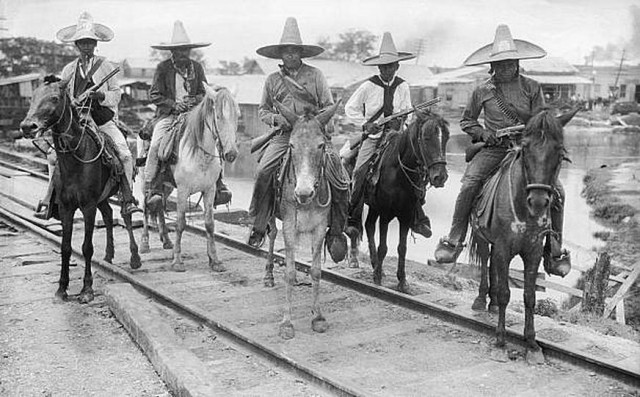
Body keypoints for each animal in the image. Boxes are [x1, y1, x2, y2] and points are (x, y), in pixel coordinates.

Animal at [19, 76, 140, 302]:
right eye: (32, 97)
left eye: (55, 98)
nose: (27, 126)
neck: (75, 160)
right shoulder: (66, 207)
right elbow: (66, 247)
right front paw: (62, 287)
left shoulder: (88, 206)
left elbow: (86, 247)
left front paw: (87, 289)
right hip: (102, 198)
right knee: (108, 215)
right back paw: (109, 254)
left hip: (119, 191)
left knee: (126, 216)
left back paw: (135, 257)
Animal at [140, 84, 240, 272]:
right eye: (218, 116)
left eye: (237, 115)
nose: (231, 154)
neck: (200, 155)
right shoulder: (183, 190)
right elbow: (180, 223)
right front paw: (177, 261)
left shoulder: (209, 190)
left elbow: (209, 224)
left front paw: (214, 260)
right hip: (146, 181)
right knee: (146, 206)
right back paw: (144, 244)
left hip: (167, 186)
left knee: (159, 206)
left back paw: (167, 240)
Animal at [262, 101, 340, 338]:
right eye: (292, 145)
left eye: (321, 145)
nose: (303, 193)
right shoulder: (289, 224)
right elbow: (287, 271)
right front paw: (287, 322)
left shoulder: (320, 227)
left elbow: (315, 270)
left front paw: (318, 316)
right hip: (272, 215)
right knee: (272, 235)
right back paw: (268, 275)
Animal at [344, 111, 450, 290]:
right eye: (426, 137)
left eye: (447, 138)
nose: (440, 176)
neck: (398, 171)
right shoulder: (386, 214)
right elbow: (383, 247)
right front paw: (377, 278)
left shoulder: (406, 215)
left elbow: (402, 248)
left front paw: (402, 281)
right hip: (363, 200)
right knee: (358, 227)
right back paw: (359, 261)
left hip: (374, 207)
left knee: (369, 226)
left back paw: (375, 265)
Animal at [468, 108, 576, 362]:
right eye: (525, 149)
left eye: (560, 152)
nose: (538, 201)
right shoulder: (503, 247)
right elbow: (506, 293)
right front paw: (500, 341)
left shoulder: (533, 251)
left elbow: (529, 296)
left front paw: (532, 344)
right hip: (482, 237)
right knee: (486, 262)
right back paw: (481, 299)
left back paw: (492, 304)